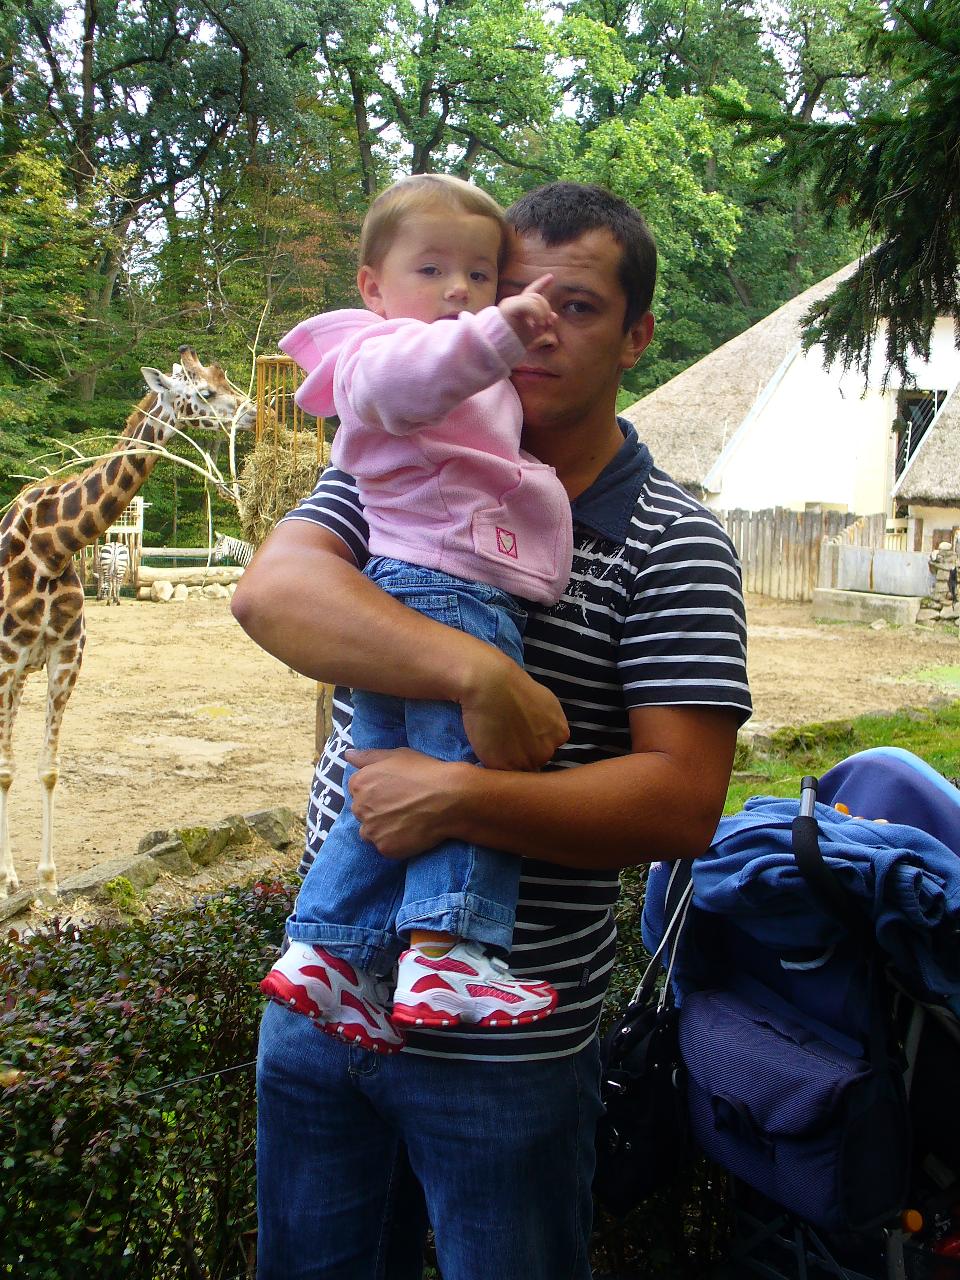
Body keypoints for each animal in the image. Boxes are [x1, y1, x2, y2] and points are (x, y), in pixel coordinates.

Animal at [0, 365, 255, 898]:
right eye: (205, 391)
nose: (251, 412)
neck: (52, 546)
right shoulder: (8, 659)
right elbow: (8, 768)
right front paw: (11, 881)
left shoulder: (64, 659)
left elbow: (48, 769)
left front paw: (48, 880)